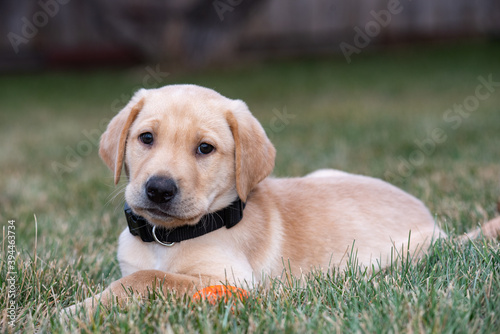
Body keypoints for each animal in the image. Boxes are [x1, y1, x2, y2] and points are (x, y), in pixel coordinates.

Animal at [67, 83, 500, 314]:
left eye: (205, 149)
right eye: (146, 138)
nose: (158, 189)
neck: (167, 238)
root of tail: (435, 224)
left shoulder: (228, 278)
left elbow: (146, 278)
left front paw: (75, 311)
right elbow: (139, 274)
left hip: (397, 256)